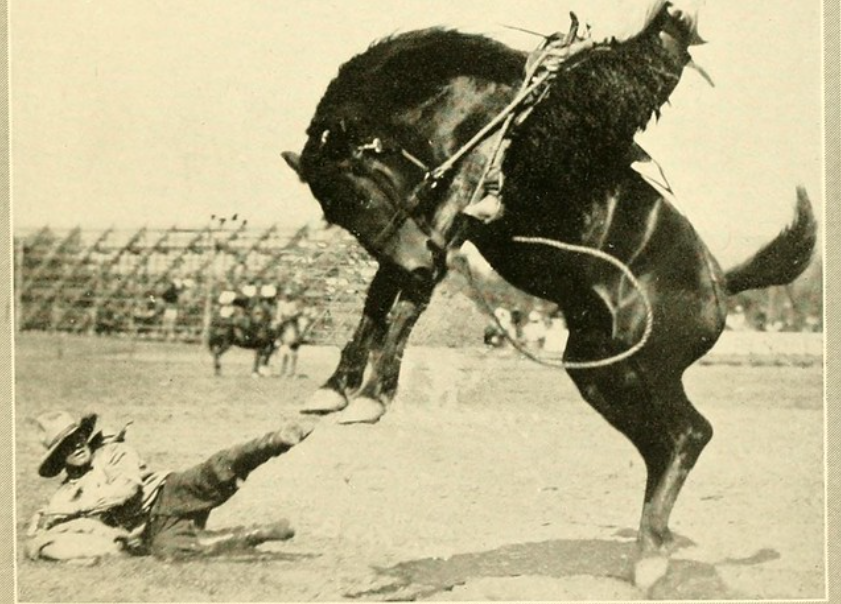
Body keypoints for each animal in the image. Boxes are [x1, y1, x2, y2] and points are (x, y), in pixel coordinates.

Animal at [278, 0, 816, 584]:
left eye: (362, 191)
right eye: (336, 212)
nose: (419, 265)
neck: (468, 103)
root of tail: (720, 282)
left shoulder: (456, 205)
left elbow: (405, 302)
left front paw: (372, 397)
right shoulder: (418, 231)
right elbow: (380, 296)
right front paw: (334, 389)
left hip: (646, 366)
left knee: (690, 434)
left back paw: (652, 554)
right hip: (601, 373)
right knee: (666, 443)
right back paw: (651, 547)